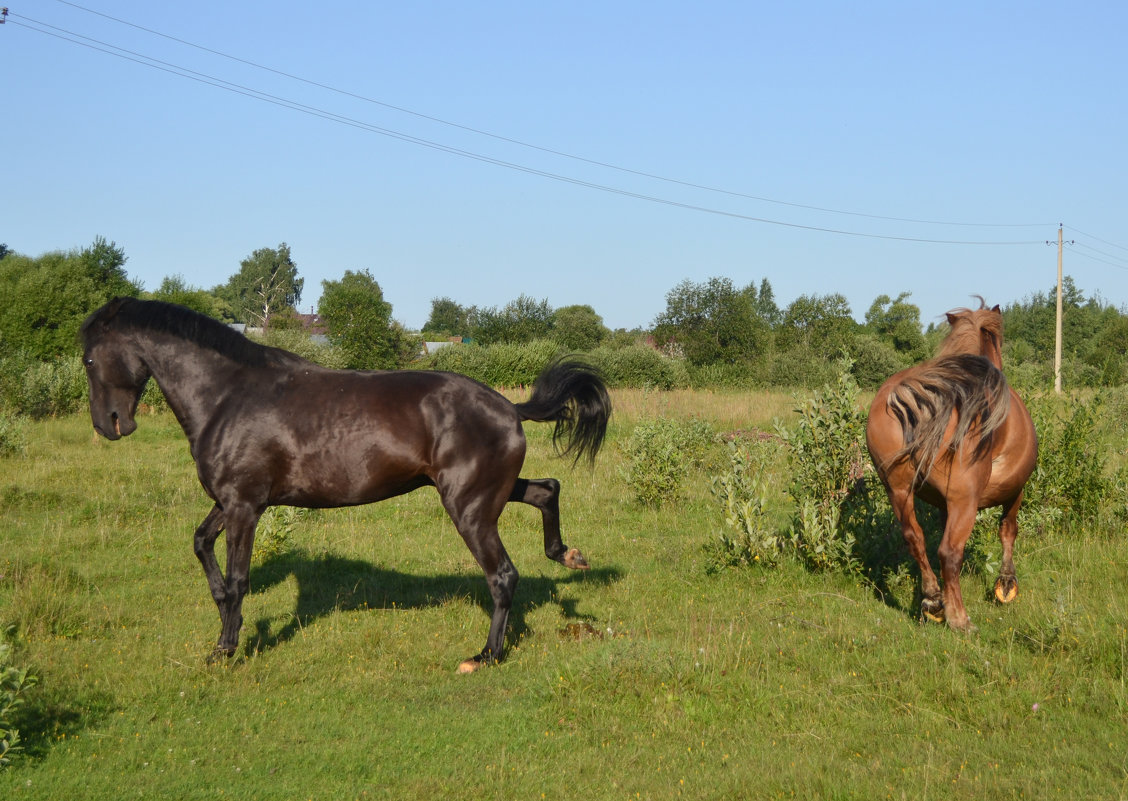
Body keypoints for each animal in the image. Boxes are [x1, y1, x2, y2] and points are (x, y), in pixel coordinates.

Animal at [80, 297, 613, 672]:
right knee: (546, 489)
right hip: (486, 494)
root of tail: (510, 408)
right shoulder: (232, 502)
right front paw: (224, 625)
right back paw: (568, 555)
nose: (110, 425)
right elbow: (201, 546)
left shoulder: (244, 505)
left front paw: (225, 649)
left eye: (87, 360)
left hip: (469, 508)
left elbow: (237, 580)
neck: (228, 397)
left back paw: (485, 655)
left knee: (502, 575)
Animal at [866, 297, 1033, 631]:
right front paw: (1006, 584)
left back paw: (933, 600)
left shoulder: (942, 504)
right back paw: (959, 619)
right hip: (964, 500)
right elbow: (1008, 531)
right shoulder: (1015, 491)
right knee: (949, 553)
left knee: (914, 539)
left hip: (898, 490)